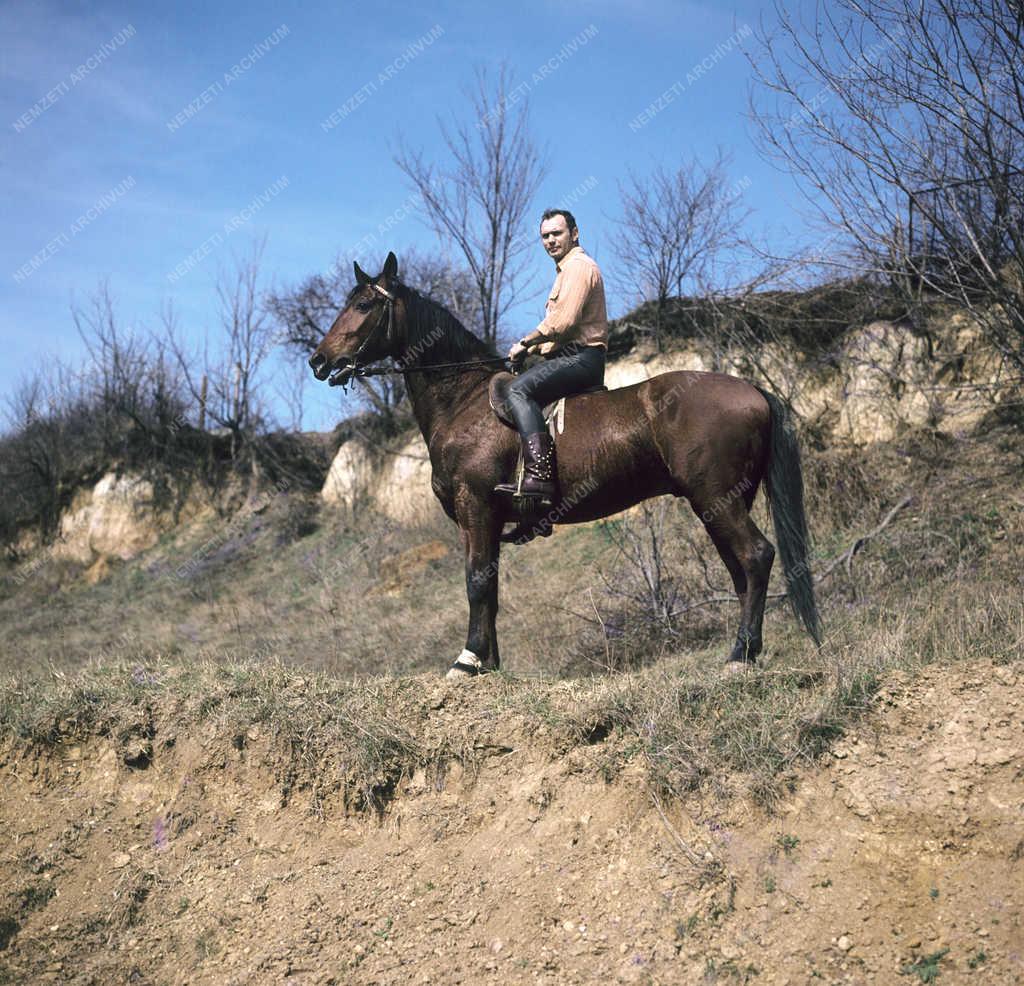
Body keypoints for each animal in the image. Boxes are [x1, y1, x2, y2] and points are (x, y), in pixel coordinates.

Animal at [307, 250, 819, 675]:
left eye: (364, 306)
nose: (319, 360)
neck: (464, 400)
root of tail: (750, 390)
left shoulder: (476, 508)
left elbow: (475, 582)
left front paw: (467, 662)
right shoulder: (481, 520)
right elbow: (490, 587)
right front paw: (490, 665)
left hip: (716, 498)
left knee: (757, 556)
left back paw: (739, 656)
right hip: (719, 504)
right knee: (741, 570)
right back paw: (746, 651)